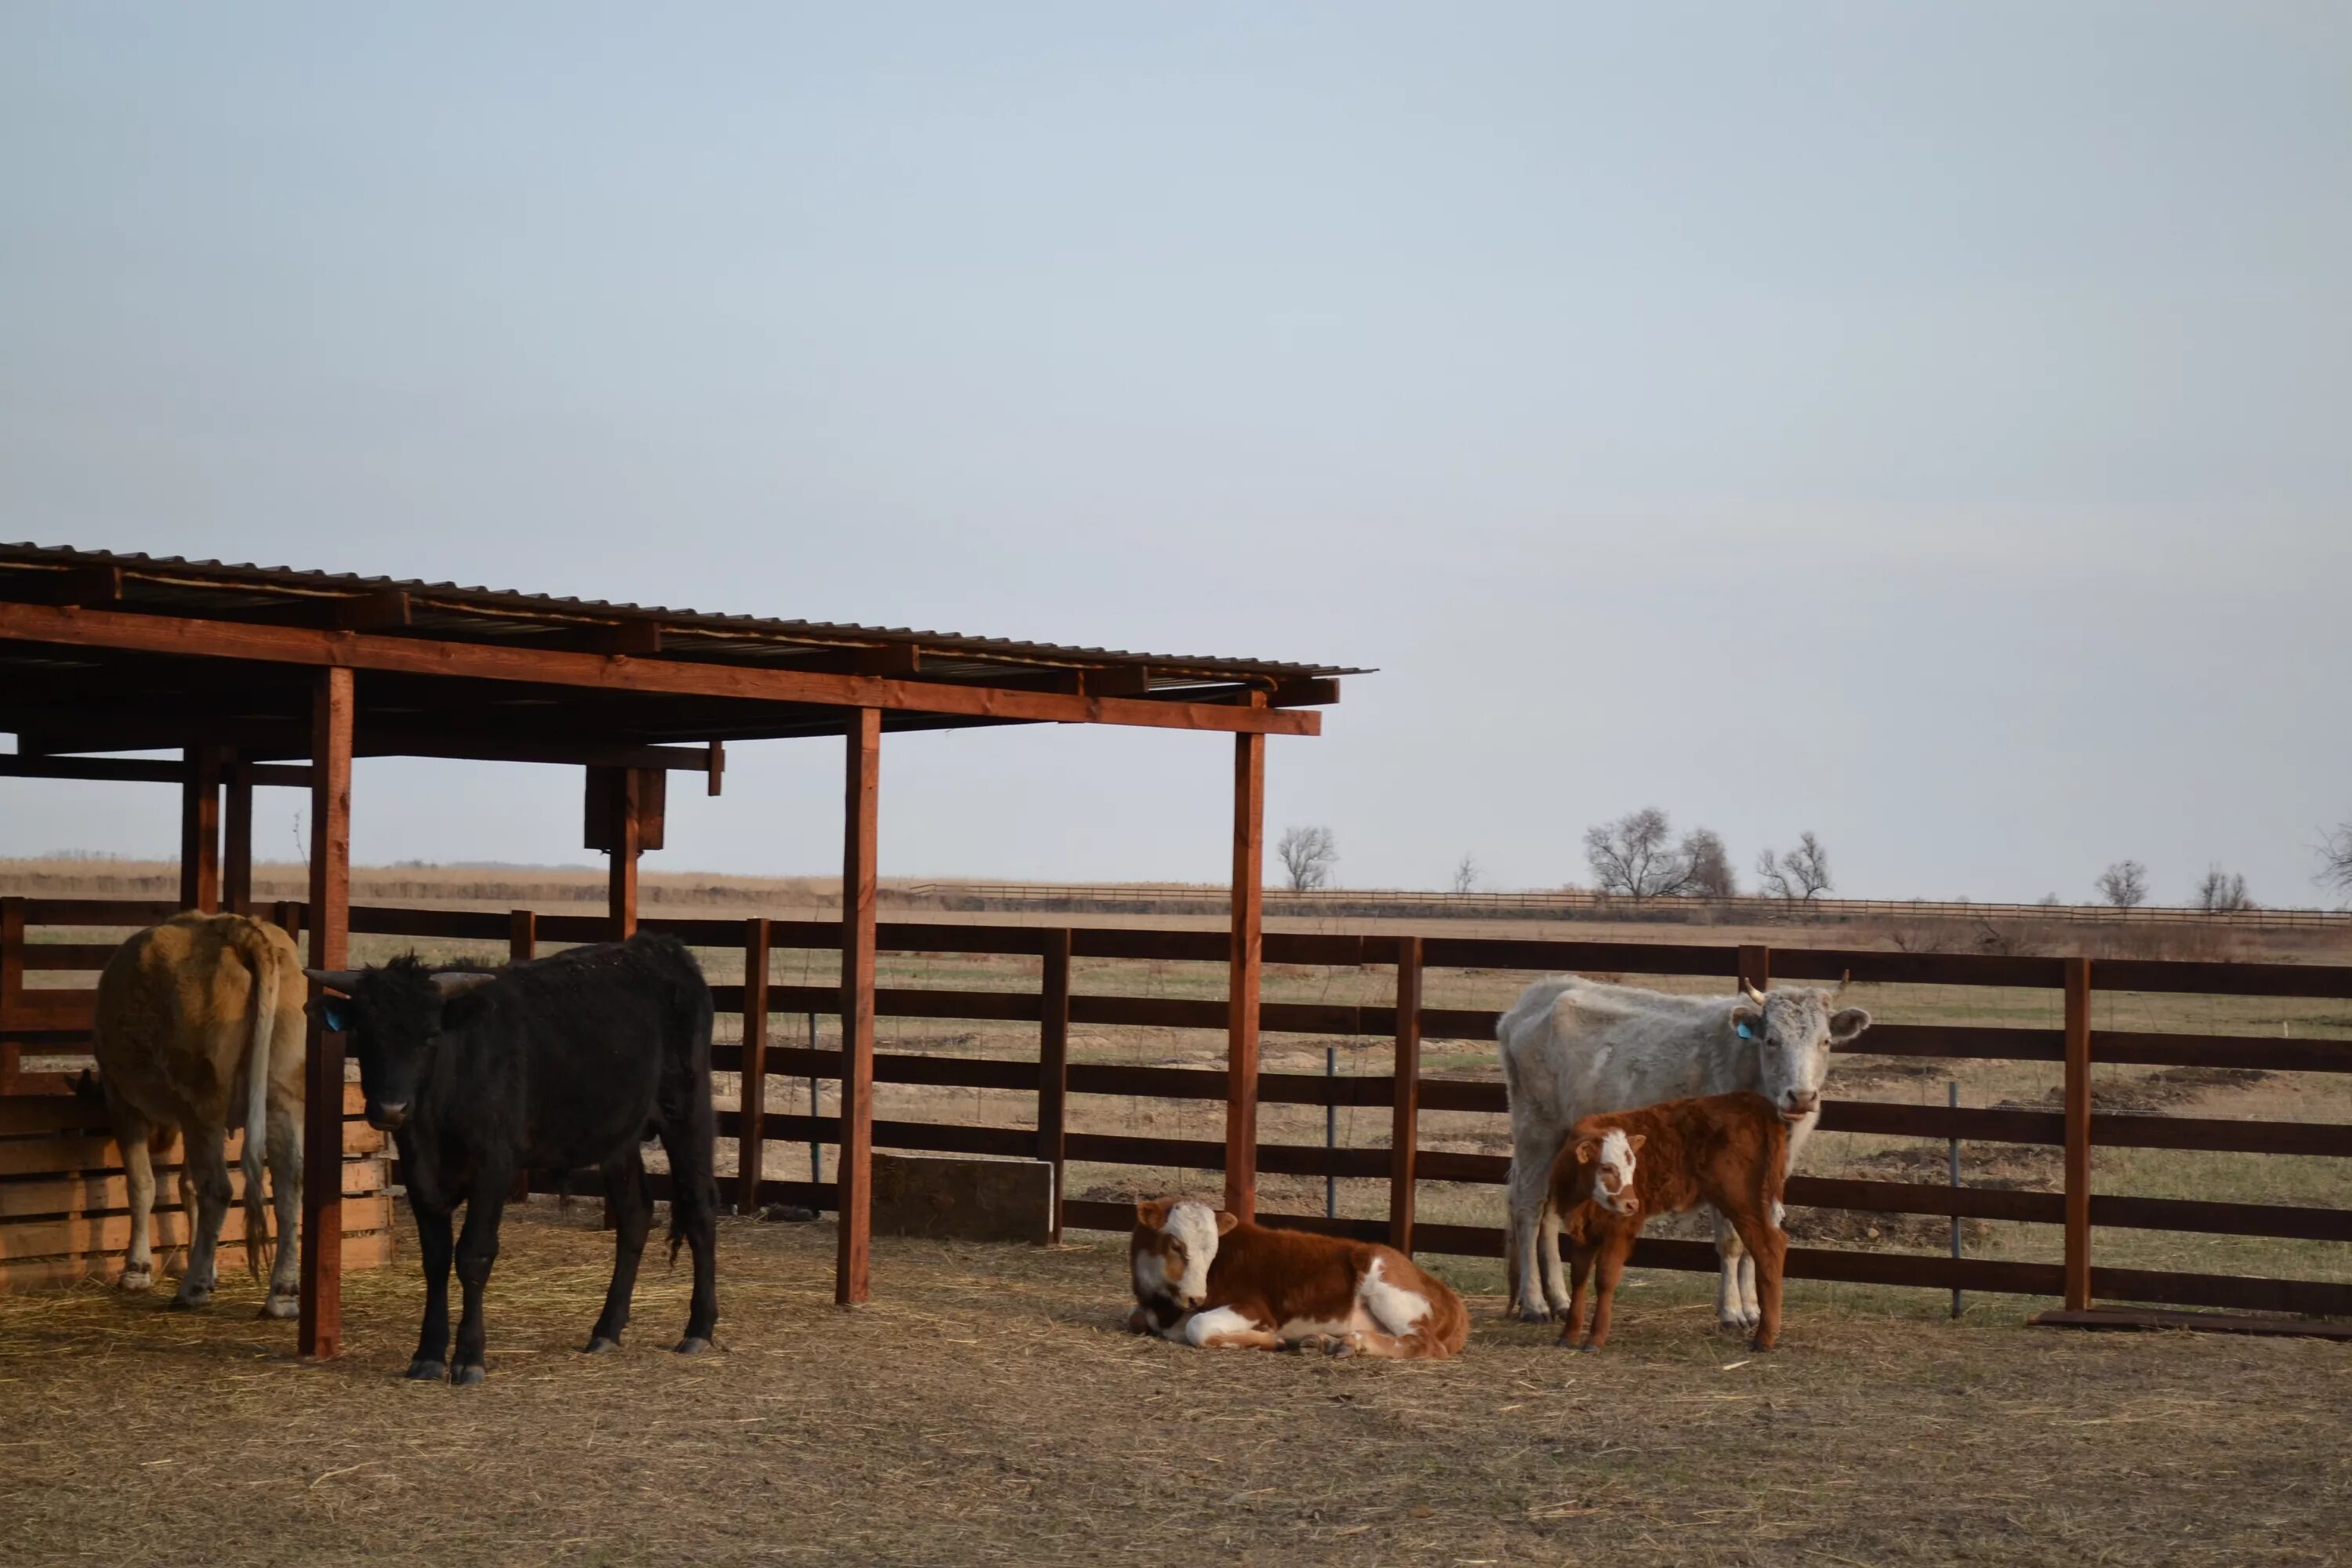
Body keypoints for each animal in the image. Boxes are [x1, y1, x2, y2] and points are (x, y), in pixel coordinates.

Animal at [93, 912, 306, 1316]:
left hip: (202, 1102)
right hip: (280, 1099)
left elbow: (141, 1184)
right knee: (289, 1186)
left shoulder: (122, 1101)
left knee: (219, 1190)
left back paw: (191, 1290)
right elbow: (187, 1183)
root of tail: (237, 926)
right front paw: (208, 1268)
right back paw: (282, 1293)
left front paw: (137, 1270)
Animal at [308, 931, 720, 1382]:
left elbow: (473, 1254)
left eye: (430, 1035)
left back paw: (698, 1329)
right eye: (366, 1034)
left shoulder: (494, 1166)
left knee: (700, 1210)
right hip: (620, 1136)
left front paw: (469, 1356)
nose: (390, 1109)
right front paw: (428, 1353)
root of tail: (657, 947)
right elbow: (435, 1257)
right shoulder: (419, 1171)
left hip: (687, 1112)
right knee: (635, 1215)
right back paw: (606, 1330)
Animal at [1124, 1203, 1468, 1363]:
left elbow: (1199, 1327)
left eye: (1213, 1249)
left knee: (1424, 1343)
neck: (1162, 1308)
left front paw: (1269, 1340)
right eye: (1176, 1246)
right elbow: (1135, 1319)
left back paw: (1353, 1343)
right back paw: (1327, 1341)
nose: (1197, 1297)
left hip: (1386, 1284)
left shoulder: (1255, 1309)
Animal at [1552, 1091, 1788, 1354]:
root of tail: (1749, 1099)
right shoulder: (1583, 1234)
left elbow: (1605, 1279)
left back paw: (1765, 1338)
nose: (1632, 1204)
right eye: (1606, 1167)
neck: (1581, 1201)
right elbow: (1578, 1279)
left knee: (1770, 1249)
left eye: (1633, 1166)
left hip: (1742, 1202)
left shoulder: (1618, 1231)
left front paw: (1595, 1338)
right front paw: (1569, 1334)